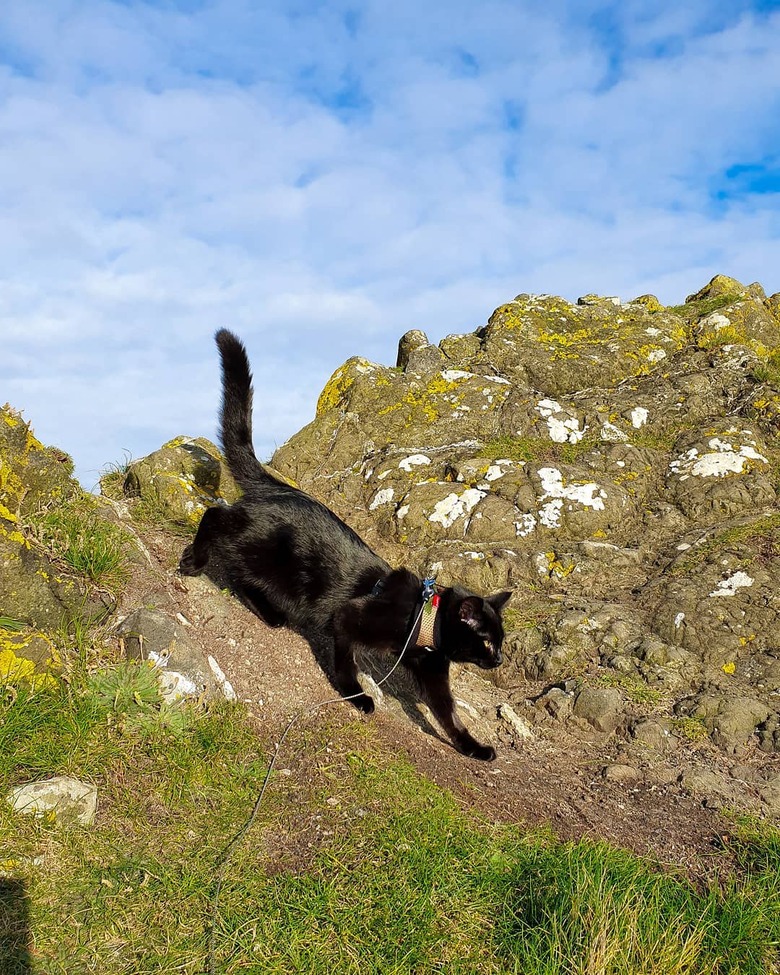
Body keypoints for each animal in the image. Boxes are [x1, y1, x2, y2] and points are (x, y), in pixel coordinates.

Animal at [182, 328, 512, 764]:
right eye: (487, 640)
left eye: (500, 641)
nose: (499, 658)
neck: (422, 622)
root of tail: (275, 485)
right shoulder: (347, 618)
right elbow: (345, 661)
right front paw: (355, 696)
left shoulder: (432, 673)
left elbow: (449, 716)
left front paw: (472, 747)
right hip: (259, 544)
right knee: (215, 517)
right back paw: (194, 559)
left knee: (240, 571)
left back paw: (269, 612)